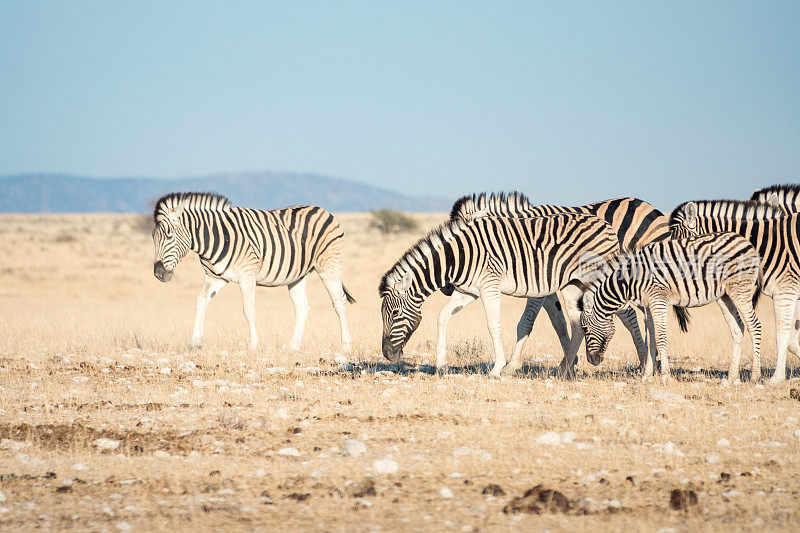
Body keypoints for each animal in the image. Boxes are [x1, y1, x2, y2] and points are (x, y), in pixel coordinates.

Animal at [151, 192, 356, 354]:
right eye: (153, 236)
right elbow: (200, 302)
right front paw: (195, 341)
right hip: (298, 275)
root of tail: (323, 210)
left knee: (339, 302)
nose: (159, 273)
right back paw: (293, 346)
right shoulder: (216, 277)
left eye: (169, 235)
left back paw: (346, 346)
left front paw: (254, 345)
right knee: (302, 307)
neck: (214, 238)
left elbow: (248, 309)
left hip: (329, 266)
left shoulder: (246, 275)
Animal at [380, 210, 620, 376]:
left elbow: (493, 325)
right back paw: (564, 368)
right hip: (572, 284)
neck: (458, 257)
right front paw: (441, 364)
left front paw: (497, 368)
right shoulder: (469, 292)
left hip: (596, 279)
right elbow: (442, 316)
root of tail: (606, 225)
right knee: (577, 321)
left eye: (395, 314)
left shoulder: (490, 287)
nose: (387, 354)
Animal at [438, 192, 676, 374]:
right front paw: (571, 361)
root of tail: (649, 207)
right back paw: (648, 359)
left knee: (634, 314)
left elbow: (526, 322)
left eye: (460, 249)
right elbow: (560, 321)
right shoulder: (545, 285)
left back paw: (645, 360)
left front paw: (512, 366)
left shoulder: (541, 284)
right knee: (640, 315)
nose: (447, 288)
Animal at [580, 232, 764, 382]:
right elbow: (651, 339)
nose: (591, 360)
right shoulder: (648, 305)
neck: (630, 279)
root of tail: (744, 240)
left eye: (585, 329)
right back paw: (731, 378)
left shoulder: (658, 299)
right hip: (724, 296)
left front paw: (665, 377)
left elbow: (661, 337)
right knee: (738, 328)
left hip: (740, 290)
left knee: (754, 326)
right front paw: (647, 376)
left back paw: (755, 376)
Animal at [668, 200, 800, 382]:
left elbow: (783, 334)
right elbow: (793, 339)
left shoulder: (785, 291)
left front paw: (776, 378)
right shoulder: (791, 293)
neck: (765, 246)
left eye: (682, 248)